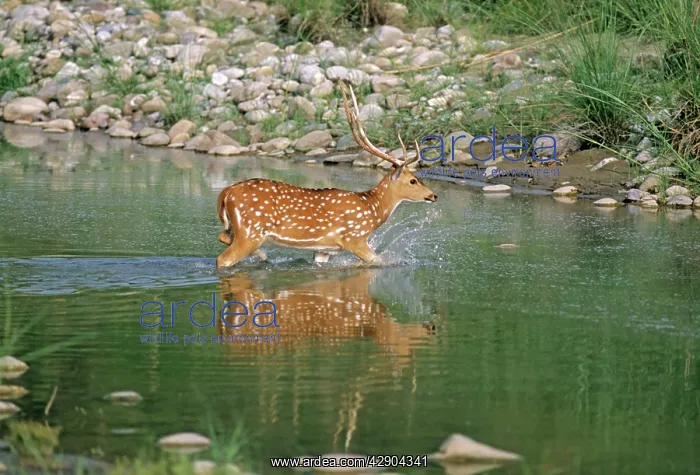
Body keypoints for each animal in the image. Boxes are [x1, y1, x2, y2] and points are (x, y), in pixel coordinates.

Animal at [215, 81, 438, 269]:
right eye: (413, 180)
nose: (433, 195)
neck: (372, 209)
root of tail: (225, 193)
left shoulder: (323, 249)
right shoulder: (353, 237)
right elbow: (378, 260)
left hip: (240, 230)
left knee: (223, 237)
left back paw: (262, 256)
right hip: (250, 230)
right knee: (222, 259)